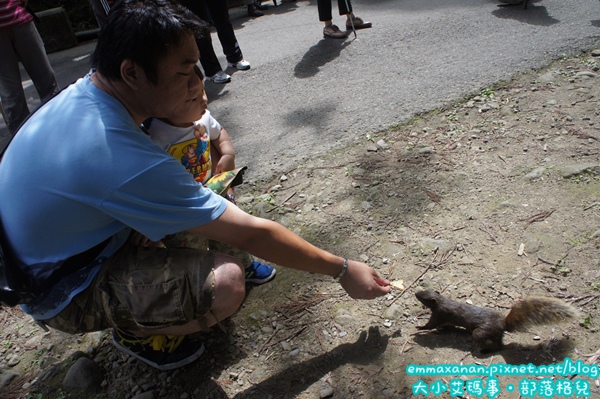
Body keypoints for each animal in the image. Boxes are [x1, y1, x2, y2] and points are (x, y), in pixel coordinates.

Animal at [414, 290, 580, 352]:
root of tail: (502, 325)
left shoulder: (439, 314)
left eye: (423, 297)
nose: (415, 293)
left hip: (480, 333)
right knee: (499, 344)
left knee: (493, 345)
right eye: (424, 291)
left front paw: (419, 328)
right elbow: (446, 325)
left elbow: (431, 325)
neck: (442, 301)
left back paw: (483, 350)